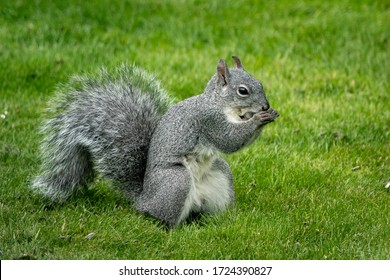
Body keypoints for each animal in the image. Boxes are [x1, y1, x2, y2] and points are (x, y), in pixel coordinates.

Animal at [32, 56, 278, 228]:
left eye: (260, 83)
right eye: (243, 91)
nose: (265, 106)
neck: (221, 105)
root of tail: (143, 199)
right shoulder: (209, 122)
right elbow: (229, 140)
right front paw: (259, 119)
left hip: (220, 174)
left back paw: (221, 219)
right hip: (176, 181)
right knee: (162, 217)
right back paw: (171, 228)